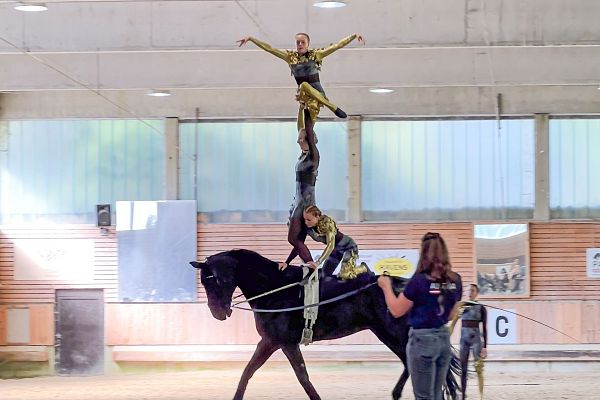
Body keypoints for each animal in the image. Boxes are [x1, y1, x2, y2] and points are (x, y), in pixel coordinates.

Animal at [192, 248, 460, 398]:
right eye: (205, 281)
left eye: (215, 279)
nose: (217, 312)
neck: (275, 288)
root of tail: (401, 284)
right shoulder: (273, 342)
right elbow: (251, 373)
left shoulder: (278, 341)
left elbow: (298, 377)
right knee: (411, 363)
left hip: (392, 332)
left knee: (412, 361)